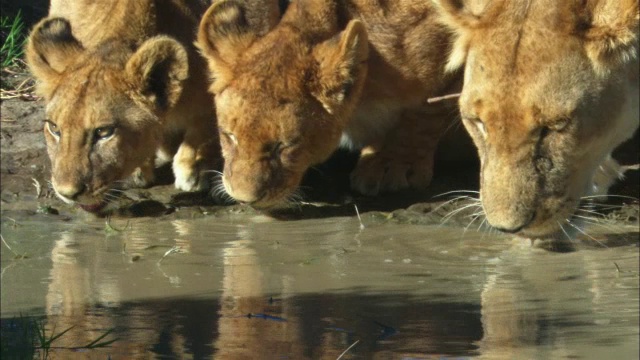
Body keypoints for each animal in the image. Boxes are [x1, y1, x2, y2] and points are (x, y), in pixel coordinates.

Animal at [26, 0, 220, 212]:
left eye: (103, 132)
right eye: (54, 128)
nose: (67, 193)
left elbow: (200, 132)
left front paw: (193, 173)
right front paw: (141, 170)